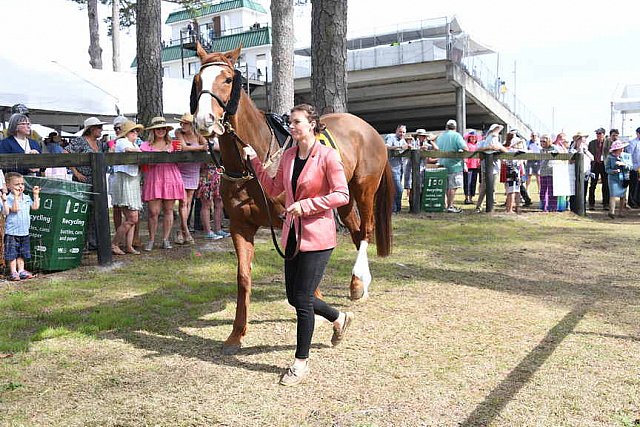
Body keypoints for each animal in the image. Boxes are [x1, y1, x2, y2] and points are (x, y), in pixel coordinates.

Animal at [190, 45, 392, 356]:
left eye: (227, 79)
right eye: (198, 80)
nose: (204, 121)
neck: (252, 165)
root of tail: (369, 129)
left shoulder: (292, 221)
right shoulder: (239, 226)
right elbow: (243, 277)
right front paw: (236, 333)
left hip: (363, 189)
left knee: (367, 229)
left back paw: (359, 281)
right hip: (343, 198)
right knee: (357, 231)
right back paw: (358, 283)